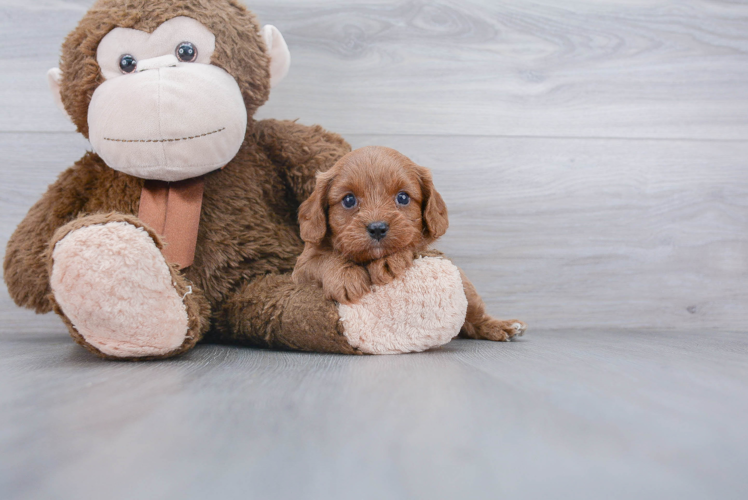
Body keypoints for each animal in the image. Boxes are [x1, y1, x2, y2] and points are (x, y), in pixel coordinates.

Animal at [292, 145, 524, 340]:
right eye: (349, 200)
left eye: (403, 197)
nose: (377, 228)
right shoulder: (301, 268)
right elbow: (324, 259)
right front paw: (346, 276)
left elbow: (411, 243)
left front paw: (388, 261)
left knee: (474, 316)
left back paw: (500, 326)